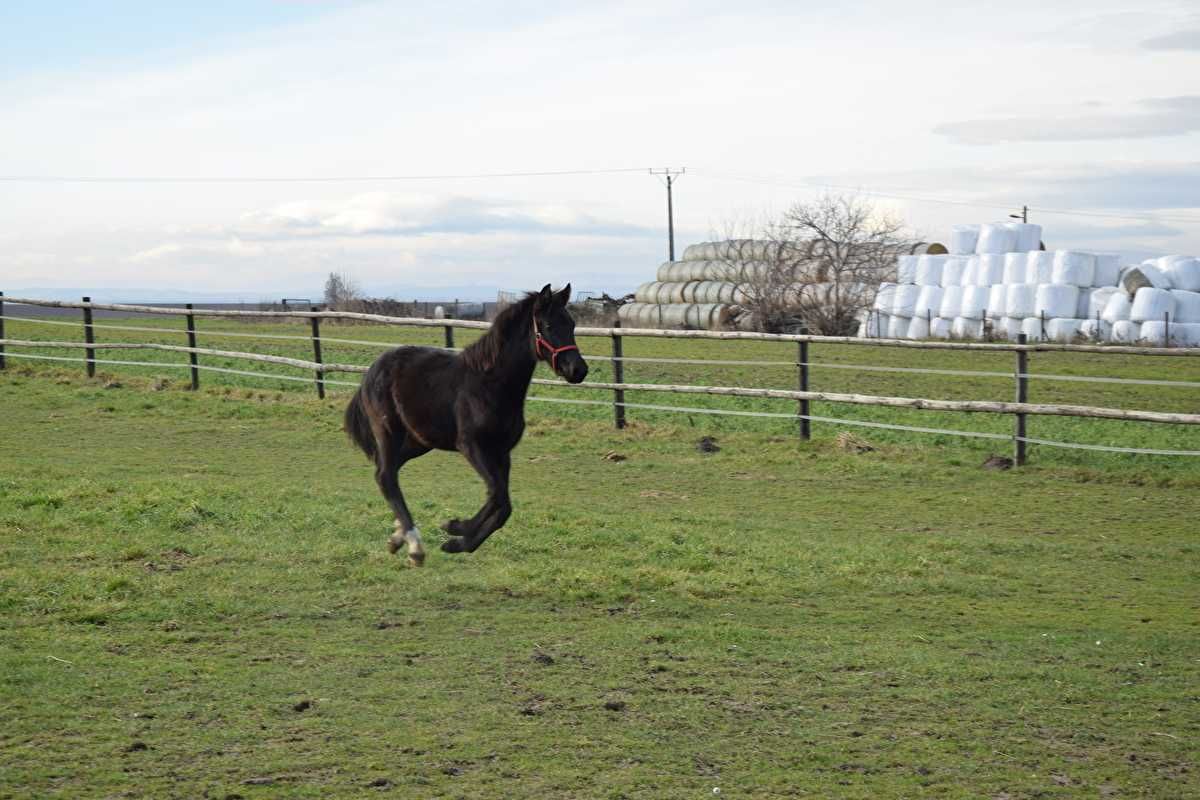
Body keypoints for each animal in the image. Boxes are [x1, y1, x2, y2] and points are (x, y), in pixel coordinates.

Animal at [345, 284, 588, 566]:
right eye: (548, 325)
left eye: (571, 324)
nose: (578, 370)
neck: (490, 384)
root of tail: (372, 370)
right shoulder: (472, 446)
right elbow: (497, 496)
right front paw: (456, 531)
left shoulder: (502, 452)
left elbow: (502, 503)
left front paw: (456, 536)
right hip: (388, 431)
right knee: (385, 475)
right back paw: (415, 546)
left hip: (419, 441)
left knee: (387, 471)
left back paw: (398, 537)